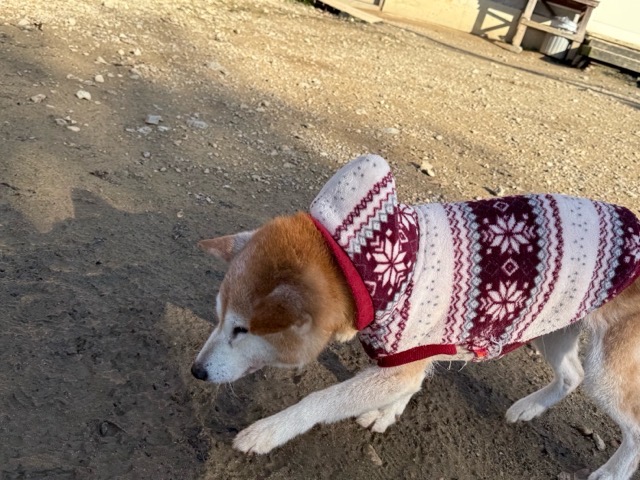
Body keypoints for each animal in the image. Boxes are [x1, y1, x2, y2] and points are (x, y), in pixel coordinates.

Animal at [192, 155, 640, 480]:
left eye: (241, 330)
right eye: (218, 318)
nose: (196, 371)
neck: (361, 268)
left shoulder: (404, 358)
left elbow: (321, 400)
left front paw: (267, 433)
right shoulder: (412, 355)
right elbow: (409, 384)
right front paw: (386, 412)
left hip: (606, 372)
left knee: (632, 427)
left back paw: (611, 473)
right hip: (554, 323)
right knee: (571, 375)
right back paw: (529, 407)